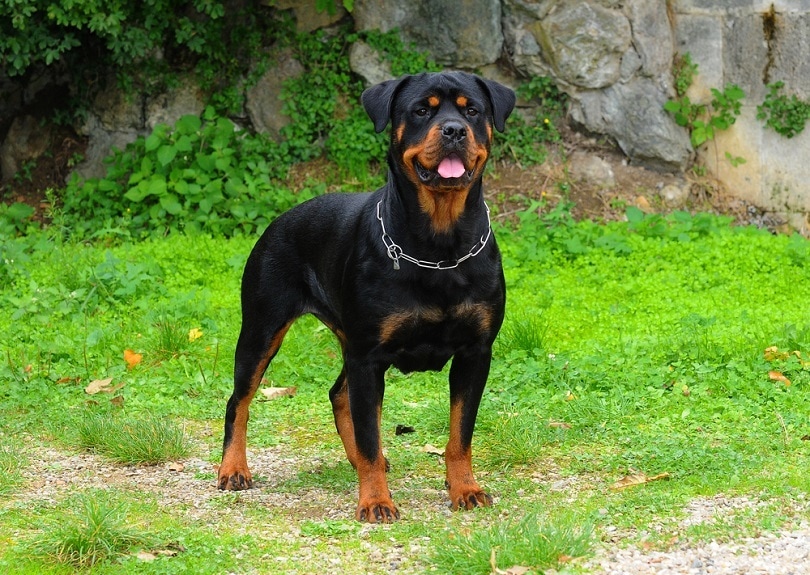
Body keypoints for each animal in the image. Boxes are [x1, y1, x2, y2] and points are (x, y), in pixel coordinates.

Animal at [218, 71, 516, 520]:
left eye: (472, 111)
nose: (453, 130)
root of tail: (278, 220)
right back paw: (233, 468)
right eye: (421, 110)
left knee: (339, 395)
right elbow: (372, 436)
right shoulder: (369, 357)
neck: (439, 246)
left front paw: (465, 488)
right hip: (261, 329)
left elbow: (460, 434)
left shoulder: (474, 352)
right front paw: (376, 500)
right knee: (240, 400)